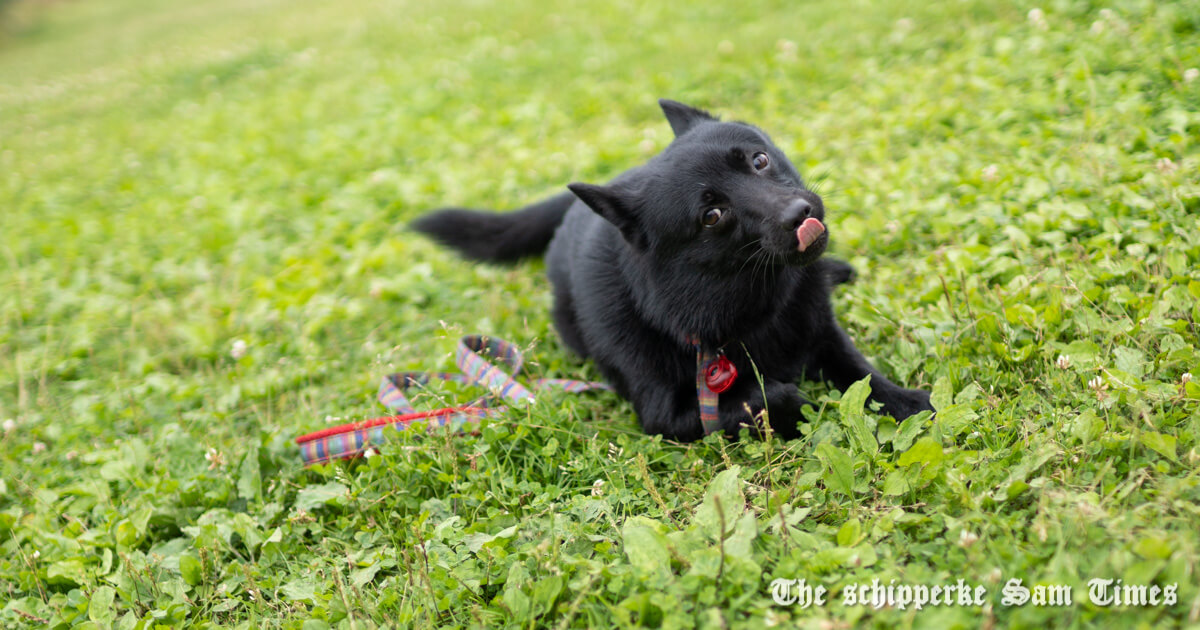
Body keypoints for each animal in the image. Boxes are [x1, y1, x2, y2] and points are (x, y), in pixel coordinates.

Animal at [415, 99, 936, 441]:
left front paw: (908, 403)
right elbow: (768, 396)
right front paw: (801, 407)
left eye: (759, 160)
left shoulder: (823, 334)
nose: (800, 214)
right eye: (712, 215)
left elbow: (861, 374)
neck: (754, 308)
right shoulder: (669, 416)